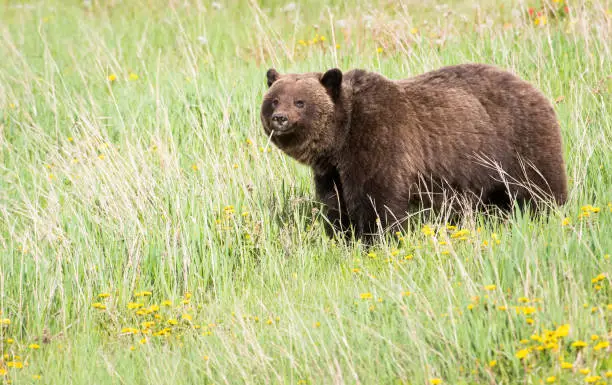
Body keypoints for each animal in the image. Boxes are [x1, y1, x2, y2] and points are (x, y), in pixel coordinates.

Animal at [260, 64, 568, 238]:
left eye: (300, 102)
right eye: (274, 99)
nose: (280, 118)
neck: (341, 138)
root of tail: (533, 88)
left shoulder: (379, 142)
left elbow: (378, 202)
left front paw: (376, 238)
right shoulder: (331, 171)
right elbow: (335, 204)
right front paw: (341, 235)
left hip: (517, 144)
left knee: (539, 187)